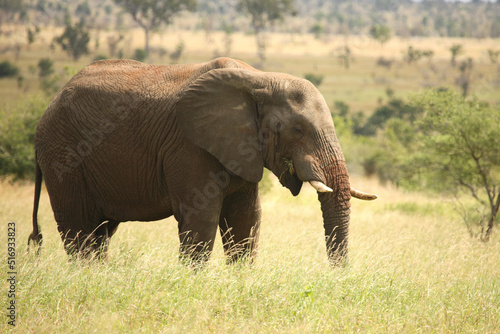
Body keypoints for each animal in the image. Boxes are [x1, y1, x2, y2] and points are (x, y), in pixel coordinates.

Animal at [28, 58, 376, 266]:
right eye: (298, 130)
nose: (338, 275)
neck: (260, 79)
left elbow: (246, 218)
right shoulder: (188, 146)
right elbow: (201, 219)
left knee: (101, 232)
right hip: (63, 156)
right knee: (80, 231)